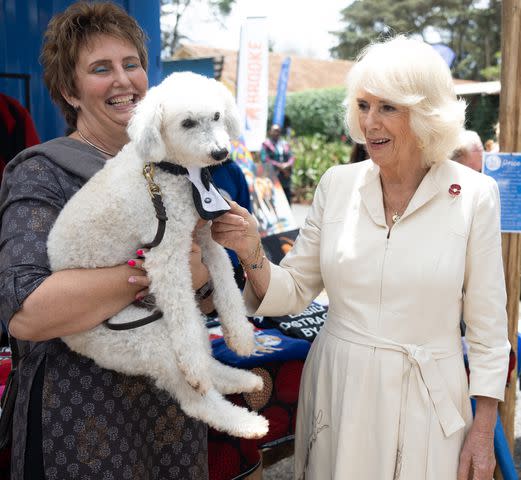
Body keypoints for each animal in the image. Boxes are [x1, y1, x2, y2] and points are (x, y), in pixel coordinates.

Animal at [46, 71, 268, 438]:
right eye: (187, 122)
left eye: (217, 116)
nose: (221, 152)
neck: (171, 173)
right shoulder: (166, 257)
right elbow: (186, 324)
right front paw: (200, 365)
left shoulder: (206, 239)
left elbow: (227, 287)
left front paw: (240, 336)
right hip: (141, 338)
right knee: (194, 396)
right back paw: (245, 421)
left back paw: (240, 378)